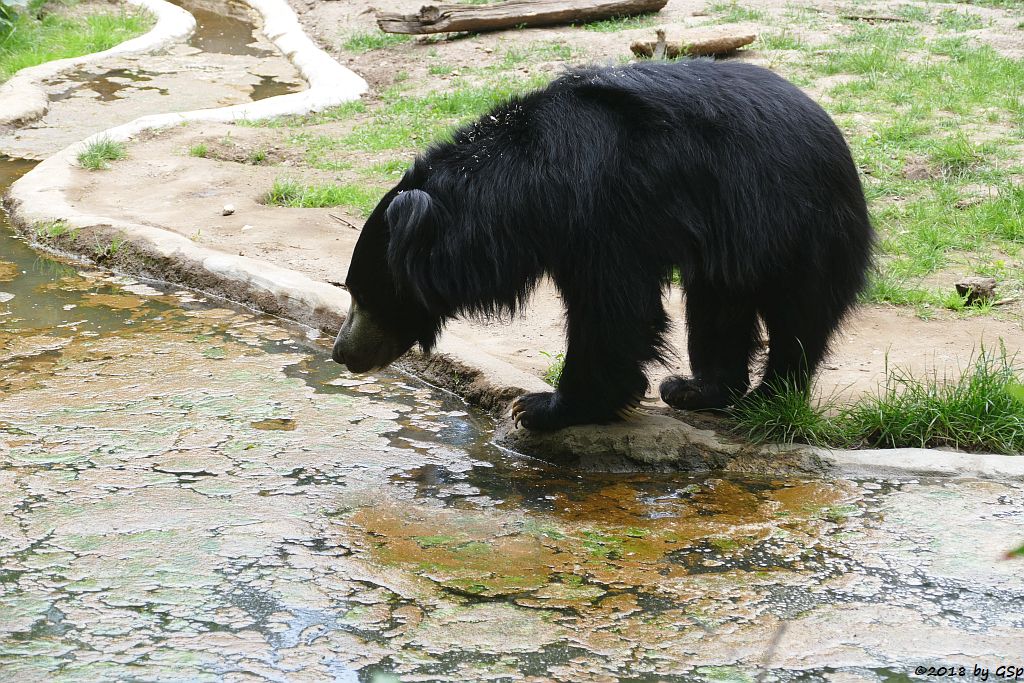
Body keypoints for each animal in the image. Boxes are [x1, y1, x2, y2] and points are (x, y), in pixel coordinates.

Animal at [333, 60, 872, 432]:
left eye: (363, 293)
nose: (341, 352)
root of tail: (836, 139)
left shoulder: (605, 214)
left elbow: (613, 310)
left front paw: (541, 407)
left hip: (796, 225)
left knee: (797, 321)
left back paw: (767, 398)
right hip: (736, 243)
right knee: (717, 305)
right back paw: (697, 390)